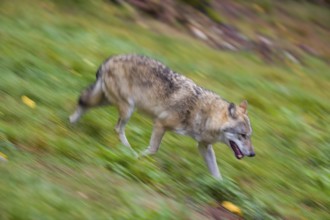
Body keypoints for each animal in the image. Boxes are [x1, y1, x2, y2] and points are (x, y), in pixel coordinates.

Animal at [69, 54, 255, 180]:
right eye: (242, 135)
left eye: (249, 136)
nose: (253, 154)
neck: (203, 113)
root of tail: (109, 60)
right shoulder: (160, 124)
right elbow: (152, 150)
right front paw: (137, 158)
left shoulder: (204, 146)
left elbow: (217, 174)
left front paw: (220, 188)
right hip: (127, 109)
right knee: (115, 126)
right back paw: (128, 150)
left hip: (108, 102)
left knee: (83, 101)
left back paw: (72, 123)